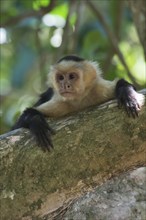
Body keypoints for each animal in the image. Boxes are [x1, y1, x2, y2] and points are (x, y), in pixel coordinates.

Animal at [12, 55, 145, 151]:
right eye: (60, 78)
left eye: (71, 76)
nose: (65, 85)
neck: (80, 100)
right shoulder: (59, 103)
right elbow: (20, 122)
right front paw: (37, 122)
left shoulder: (99, 89)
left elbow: (123, 84)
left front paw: (128, 95)